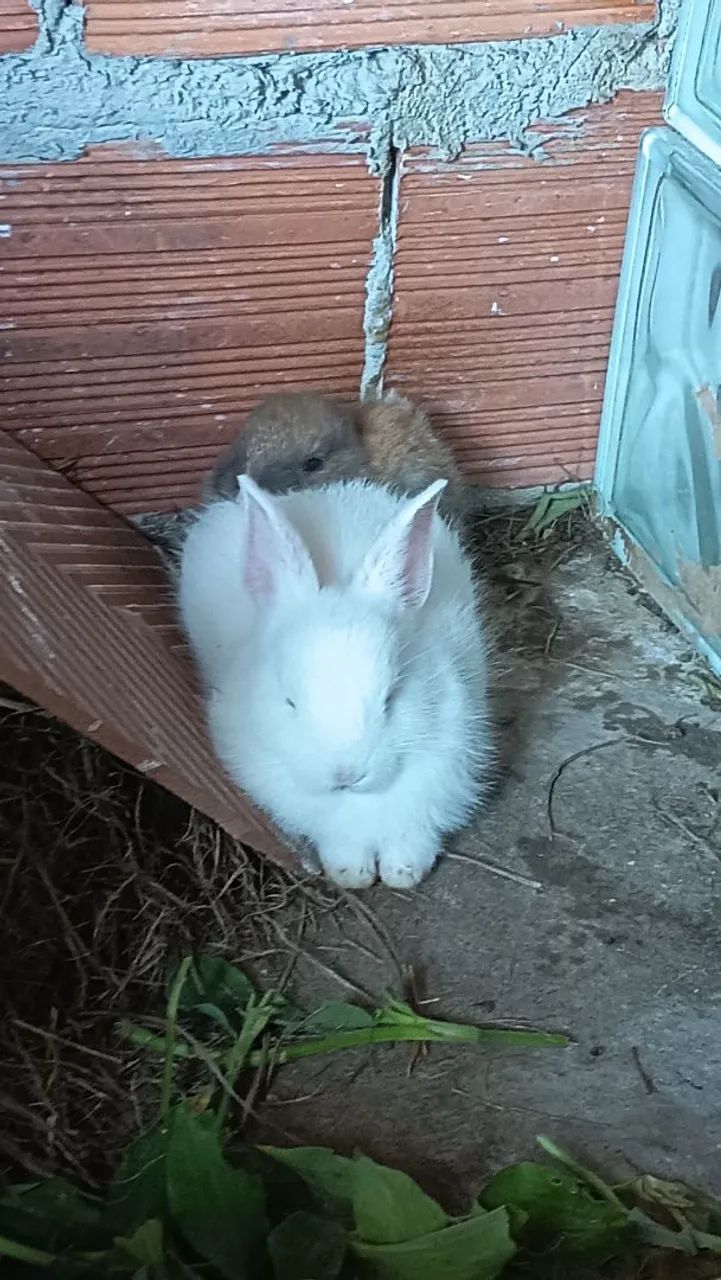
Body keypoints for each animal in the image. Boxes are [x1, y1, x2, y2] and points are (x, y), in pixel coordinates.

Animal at [179, 473, 491, 890]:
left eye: (392, 697)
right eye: (290, 702)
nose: (346, 775)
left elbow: (412, 835)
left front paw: (404, 873)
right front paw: (351, 874)